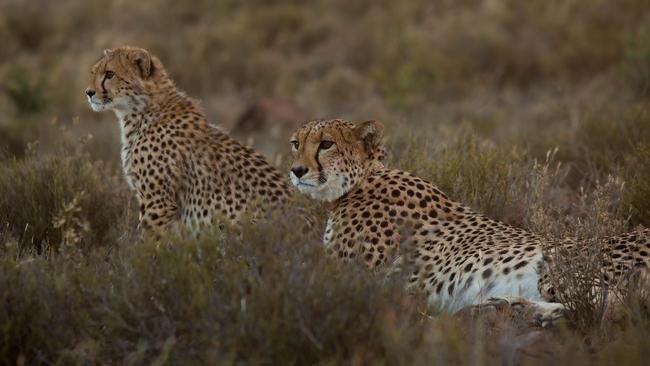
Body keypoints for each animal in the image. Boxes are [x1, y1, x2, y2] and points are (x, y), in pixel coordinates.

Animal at [288, 118, 648, 318]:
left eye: (326, 144)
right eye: (295, 143)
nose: (296, 170)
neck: (363, 179)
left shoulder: (355, 277)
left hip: (558, 261)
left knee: (606, 304)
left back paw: (519, 309)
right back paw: (505, 305)